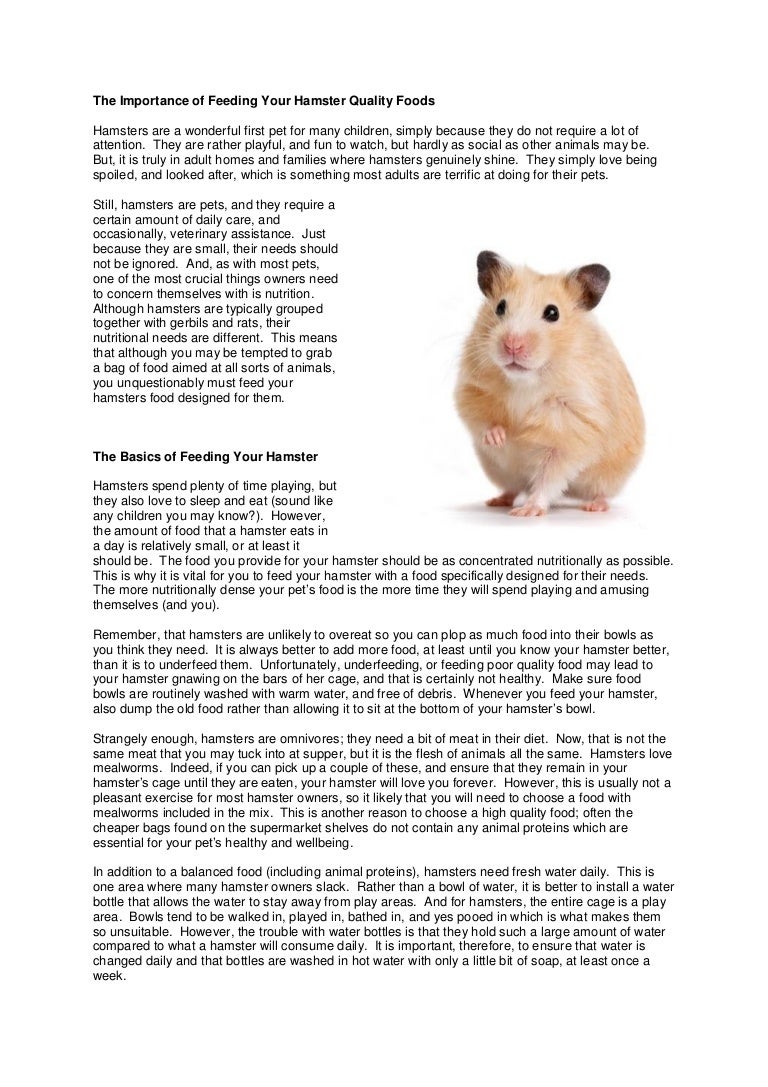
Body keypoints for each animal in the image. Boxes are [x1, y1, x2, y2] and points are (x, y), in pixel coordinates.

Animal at [455, 252, 644, 516]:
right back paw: (497, 501)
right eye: (500, 307)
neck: (526, 381)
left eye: (553, 313)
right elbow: (481, 418)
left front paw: (527, 511)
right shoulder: (471, 388)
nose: (512, 345)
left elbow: (549, 475)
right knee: (513, 487)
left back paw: (594, 506)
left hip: (609, 475)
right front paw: (500, 437)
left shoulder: (572, 428)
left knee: (599, 491)